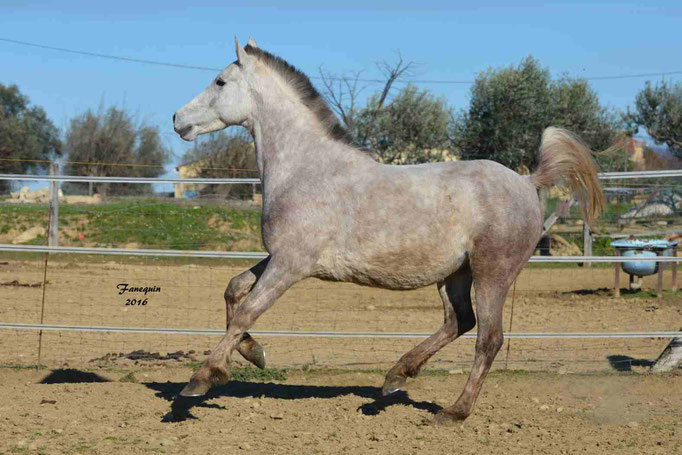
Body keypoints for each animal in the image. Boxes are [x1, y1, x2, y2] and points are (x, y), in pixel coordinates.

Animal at [174, 37, 600, 422]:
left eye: (220, 81)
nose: (177, 119)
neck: (305, 168)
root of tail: (528, 181)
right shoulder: (281, 257)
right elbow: (234, 289)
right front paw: (254, 353)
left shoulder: (291, 264)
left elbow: (247, 312)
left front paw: (202, 379)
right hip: (455, 274)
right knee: (459, 321)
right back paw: (395, 377)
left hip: (492, 273)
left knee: (488, 339)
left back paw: (452, 412)